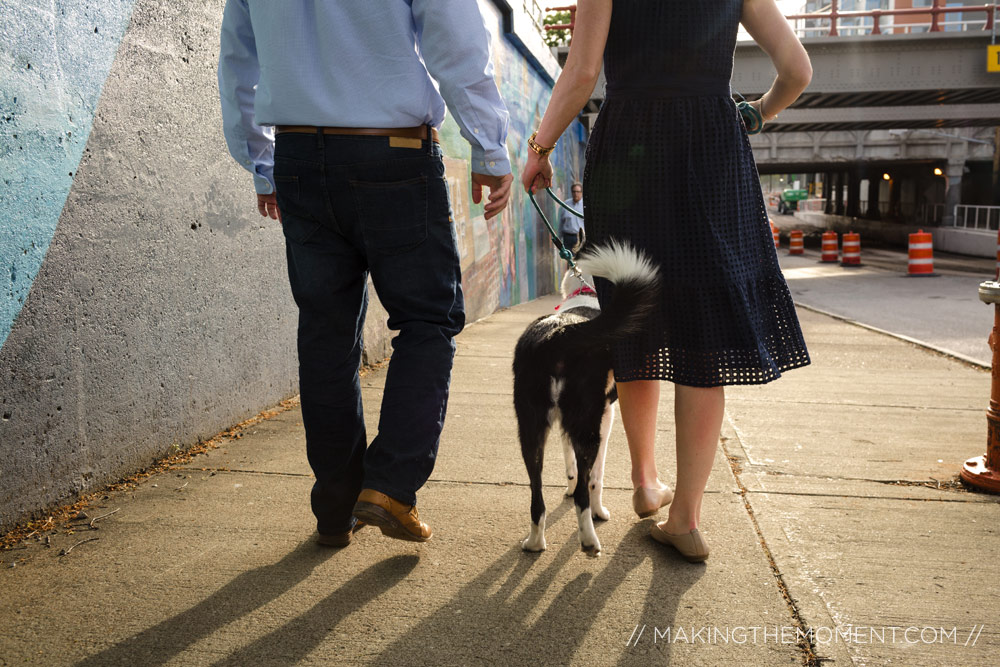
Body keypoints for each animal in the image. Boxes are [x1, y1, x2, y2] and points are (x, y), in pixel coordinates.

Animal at [516, 243, 656, 556]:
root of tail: (559, 334)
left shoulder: (564, 425)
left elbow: (571, 466)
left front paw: (568, 486)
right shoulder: (606, 417)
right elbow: (593, 479)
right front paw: (598, 511)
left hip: (530, 429)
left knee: (536, 494)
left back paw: (534, 542)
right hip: (587, 427)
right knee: (582, 493)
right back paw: (589, 540)